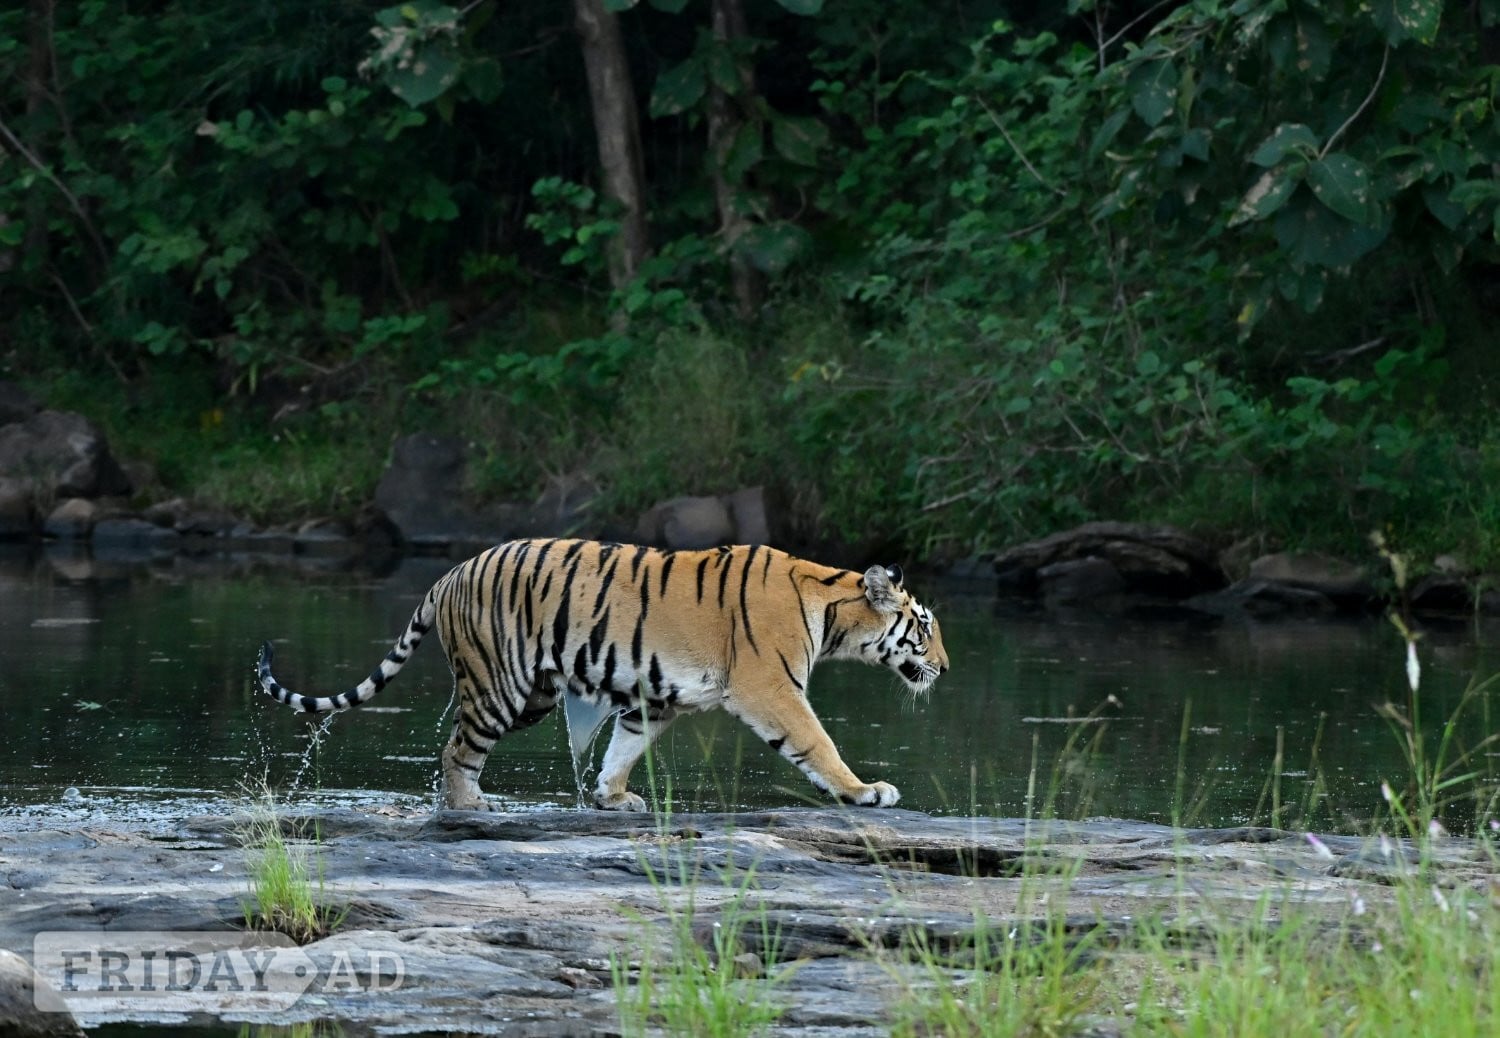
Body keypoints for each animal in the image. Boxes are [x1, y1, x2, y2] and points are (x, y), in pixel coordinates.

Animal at [255, 538, 948, 811]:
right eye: (925, 626)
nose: (944, 667)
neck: (833, 610)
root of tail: (449, 573)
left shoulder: (655, 696)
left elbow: (624, 745)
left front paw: (612, 797)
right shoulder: (771, 688)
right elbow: (817, 743)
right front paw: (865, 791)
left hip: (533, 693)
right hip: (500, 686)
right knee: (455, 749)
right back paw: (469, 806)